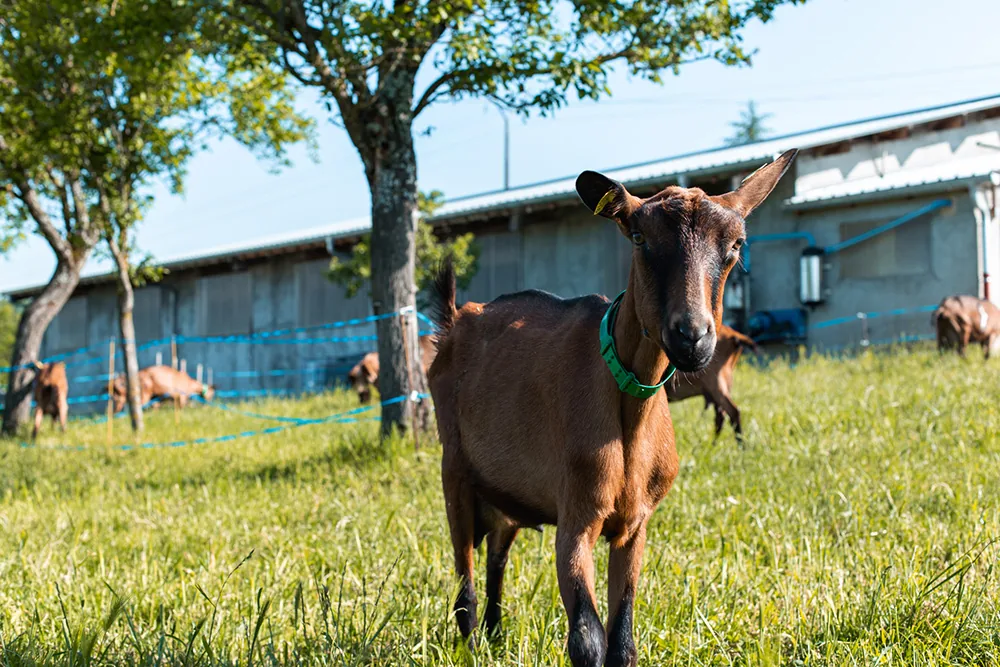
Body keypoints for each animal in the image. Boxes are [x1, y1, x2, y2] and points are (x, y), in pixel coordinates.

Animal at [427, 150, 796, 666]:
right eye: (639, 238)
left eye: (736, 245)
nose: (692, 336)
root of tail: (455, 318)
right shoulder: (576, 517)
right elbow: (587, 637)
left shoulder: (635, 524)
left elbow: (623, 641)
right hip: (455, 471)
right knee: (464, 578)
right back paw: (472, 643)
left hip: (507, 491)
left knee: (497, 554)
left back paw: (496, 634)